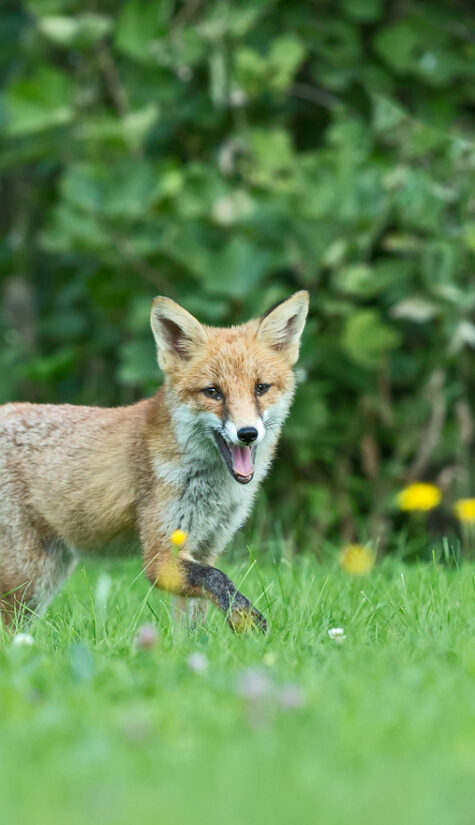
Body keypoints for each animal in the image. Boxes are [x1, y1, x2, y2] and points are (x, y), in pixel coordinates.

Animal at [0, 290, 309, 632]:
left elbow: (193, 621)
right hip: (27, 577)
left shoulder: (206, 546)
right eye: (213, 392)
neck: (211, 488)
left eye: (261, 388)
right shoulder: (160, 556)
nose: (247, 433)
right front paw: (246, 621)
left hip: (47, 575)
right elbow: (219, 579)